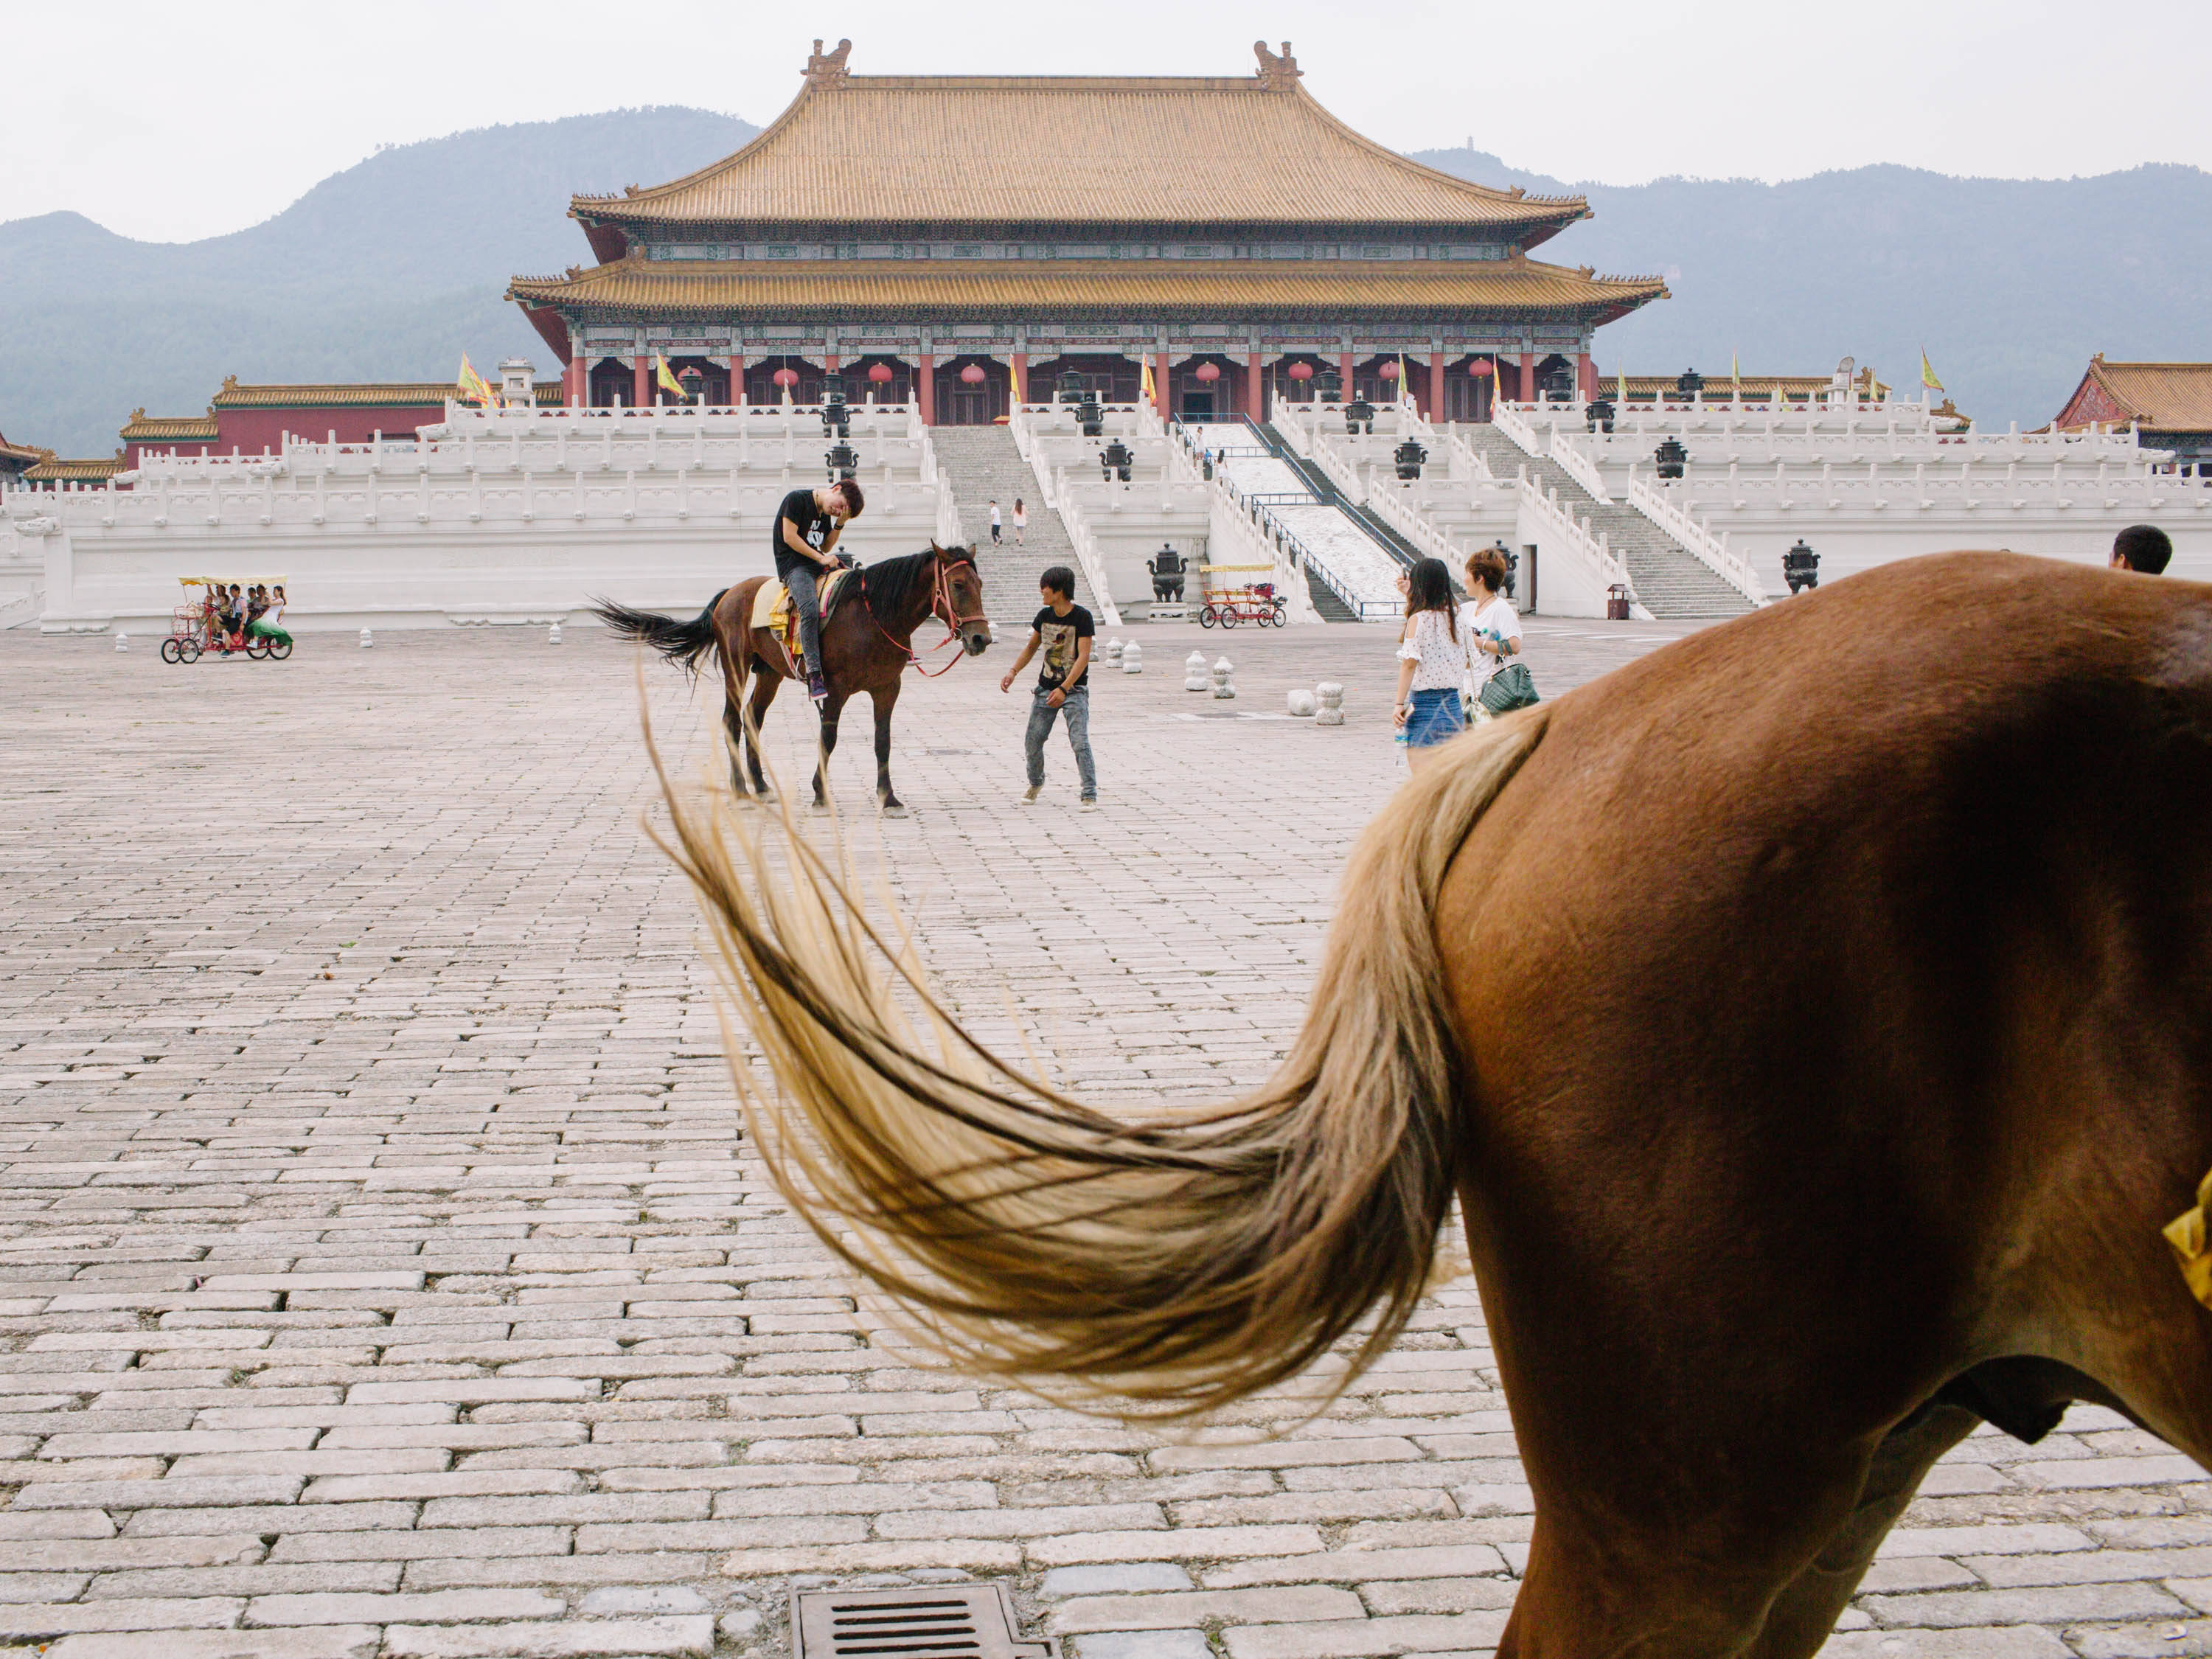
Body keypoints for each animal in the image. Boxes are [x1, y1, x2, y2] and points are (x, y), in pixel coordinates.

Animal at [602, 549, 991, 814]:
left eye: (980, 584)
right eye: (957, 584)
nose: (981, 638)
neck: (873, 616)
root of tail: (729, 593)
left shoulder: (887, 689)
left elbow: (884, 742)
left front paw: (888, 796)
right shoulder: (835, 689)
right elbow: (828, 739)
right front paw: (820, 792)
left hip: (769, 673)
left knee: (752, 718)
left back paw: (760, 785)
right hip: (736, 667)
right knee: (731, 721)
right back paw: (741, 789)